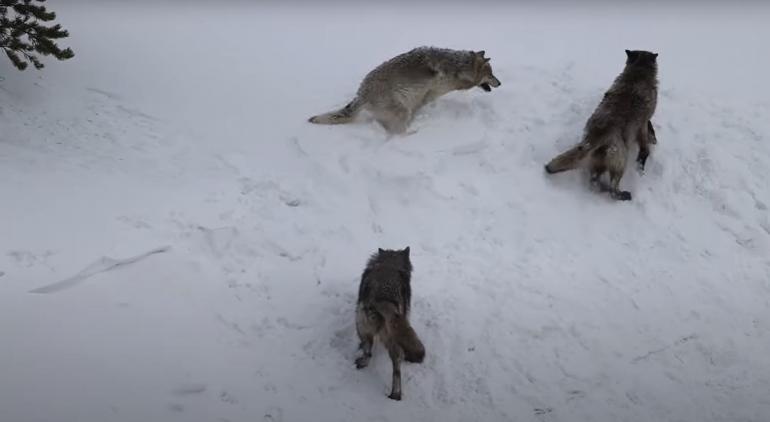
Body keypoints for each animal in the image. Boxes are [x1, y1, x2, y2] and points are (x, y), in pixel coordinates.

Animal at [308, 46, 501, 134]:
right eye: (491, 75)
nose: (500, 83)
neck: (457, 67)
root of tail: (361, 93)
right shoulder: (426, 94)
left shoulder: (422, 98)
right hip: (402, 110)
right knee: (397, 133)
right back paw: (413, 133)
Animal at [355, 246, 425, 401]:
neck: (390, 263)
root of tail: (384, 296)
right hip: (393, 337)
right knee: (397, 369)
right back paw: (395, 395)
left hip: (361, 326)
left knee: (369, 353)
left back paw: (362, 362)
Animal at [544, 50, 659, 201]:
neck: (638, 73)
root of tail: (596, 136)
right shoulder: (643, 124)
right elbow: (645, 146)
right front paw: (643, 159)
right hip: (621, 161)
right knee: (612, 189)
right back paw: (623, 195)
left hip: (599, 163)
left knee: (594, 180)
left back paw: (602, 187)